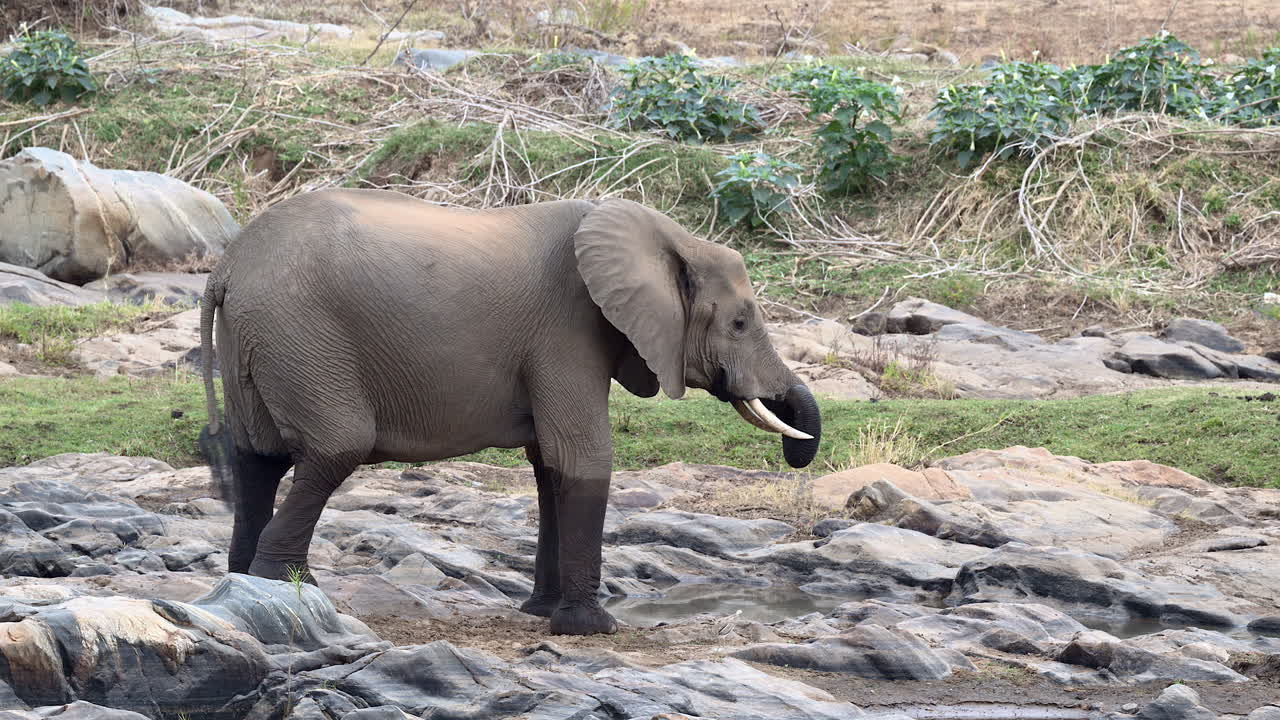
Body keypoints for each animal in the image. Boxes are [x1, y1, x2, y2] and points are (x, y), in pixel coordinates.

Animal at [199, 189, 822, 636]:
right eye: (739, 322)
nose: (797, 456)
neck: (669, 238)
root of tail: (227, 267)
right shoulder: (567, 331)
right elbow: (583, 457)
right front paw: (592, 628)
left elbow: (549, 465)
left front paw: (541, 613)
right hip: (300, 333)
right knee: (335, 448)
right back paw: (290, 589)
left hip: (256, 337)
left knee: (258, 459)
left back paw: (247, 585)